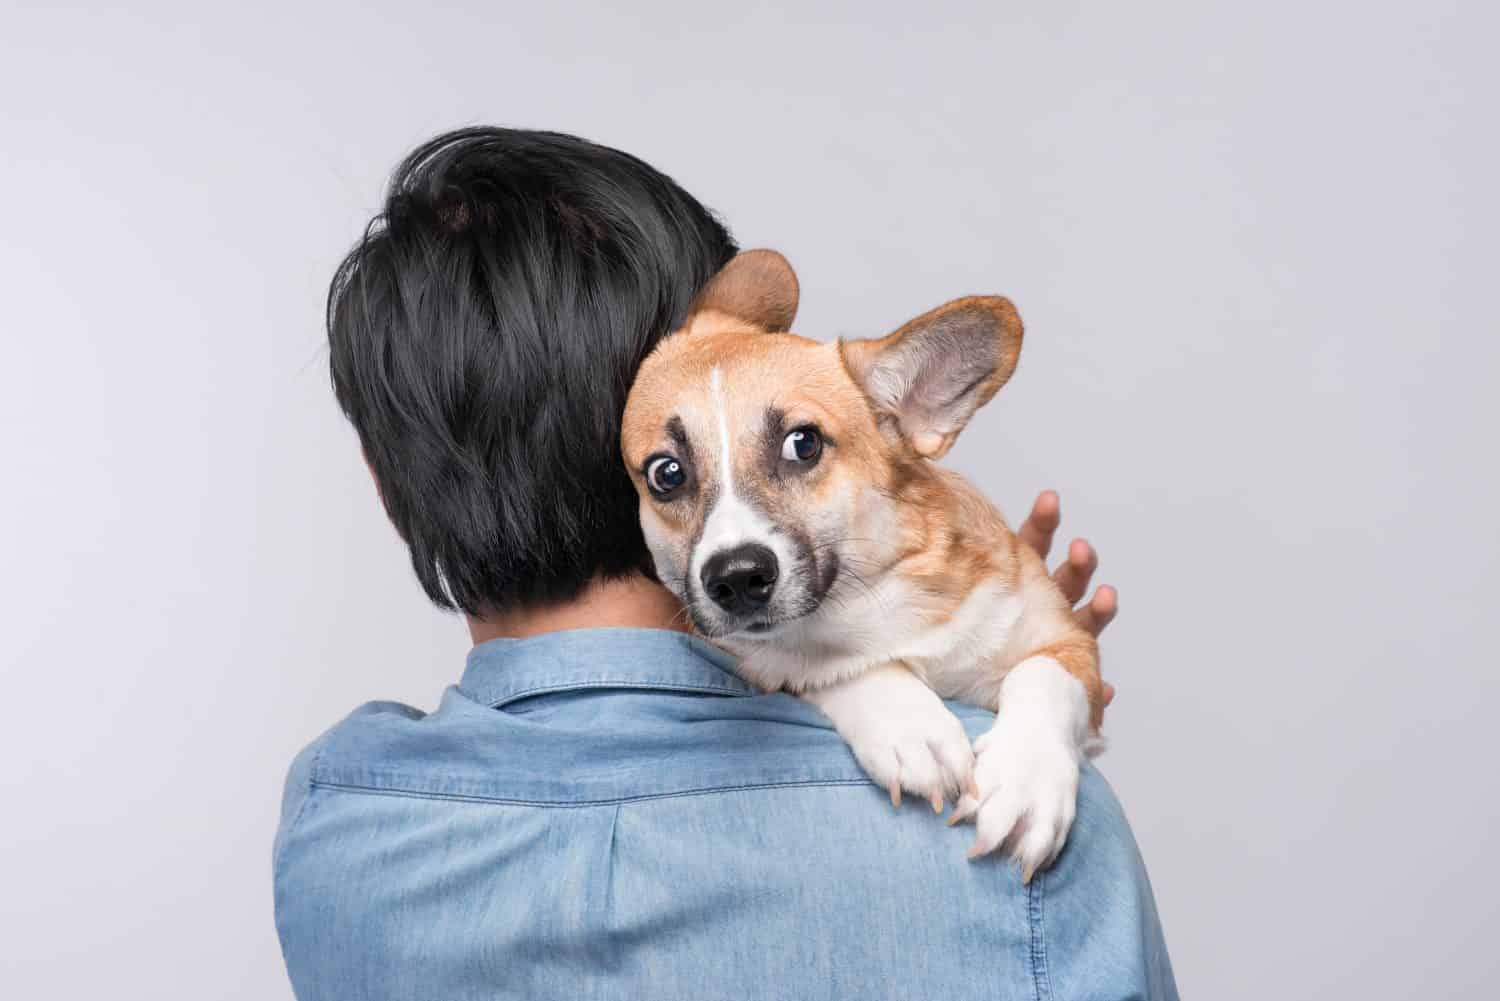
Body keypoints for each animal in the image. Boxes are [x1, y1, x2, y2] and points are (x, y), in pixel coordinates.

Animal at [618, 252, 1104, 882]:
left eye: (803, 443)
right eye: (667, 474)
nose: (737, 579)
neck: (876, 603)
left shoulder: (1067, 642)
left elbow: (1044, 676)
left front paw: (1028, 781)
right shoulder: (761, 656)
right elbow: (823, 666)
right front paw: (909, 725)